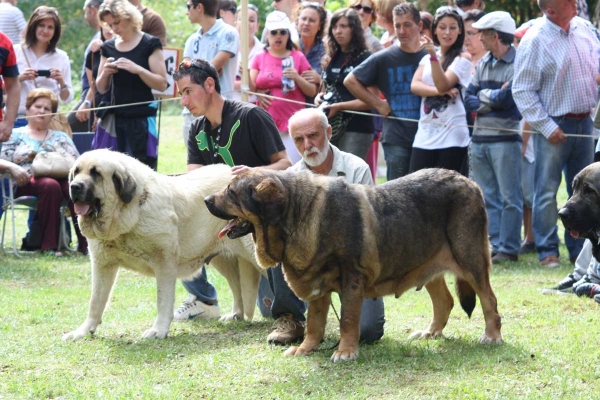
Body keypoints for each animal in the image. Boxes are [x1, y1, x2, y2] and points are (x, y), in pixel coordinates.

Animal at [204, 167, 504, 360]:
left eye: (231, 192)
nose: (206, 199)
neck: (298, 214)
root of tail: (469, 181)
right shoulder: (317, 286)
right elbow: (314, 324)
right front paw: (305, 349)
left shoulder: (351, 279)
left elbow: (348, 320)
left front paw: (345, 352)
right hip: (427, 264)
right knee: (444, 301)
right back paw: (430, 333)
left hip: (471, 260)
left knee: (489, 300)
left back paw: (492, 336)